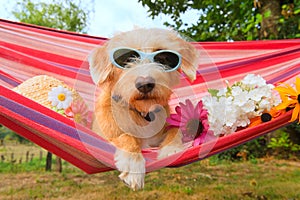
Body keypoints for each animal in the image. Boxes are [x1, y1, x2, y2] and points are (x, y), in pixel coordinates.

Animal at [88, 27, 199, 189]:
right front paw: (133, 164)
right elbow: (126, 136)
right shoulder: (104, 137)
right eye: (127, 58)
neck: (142, 112)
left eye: (163, 58)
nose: (145, 84)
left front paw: (171, 149)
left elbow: (175, 129)